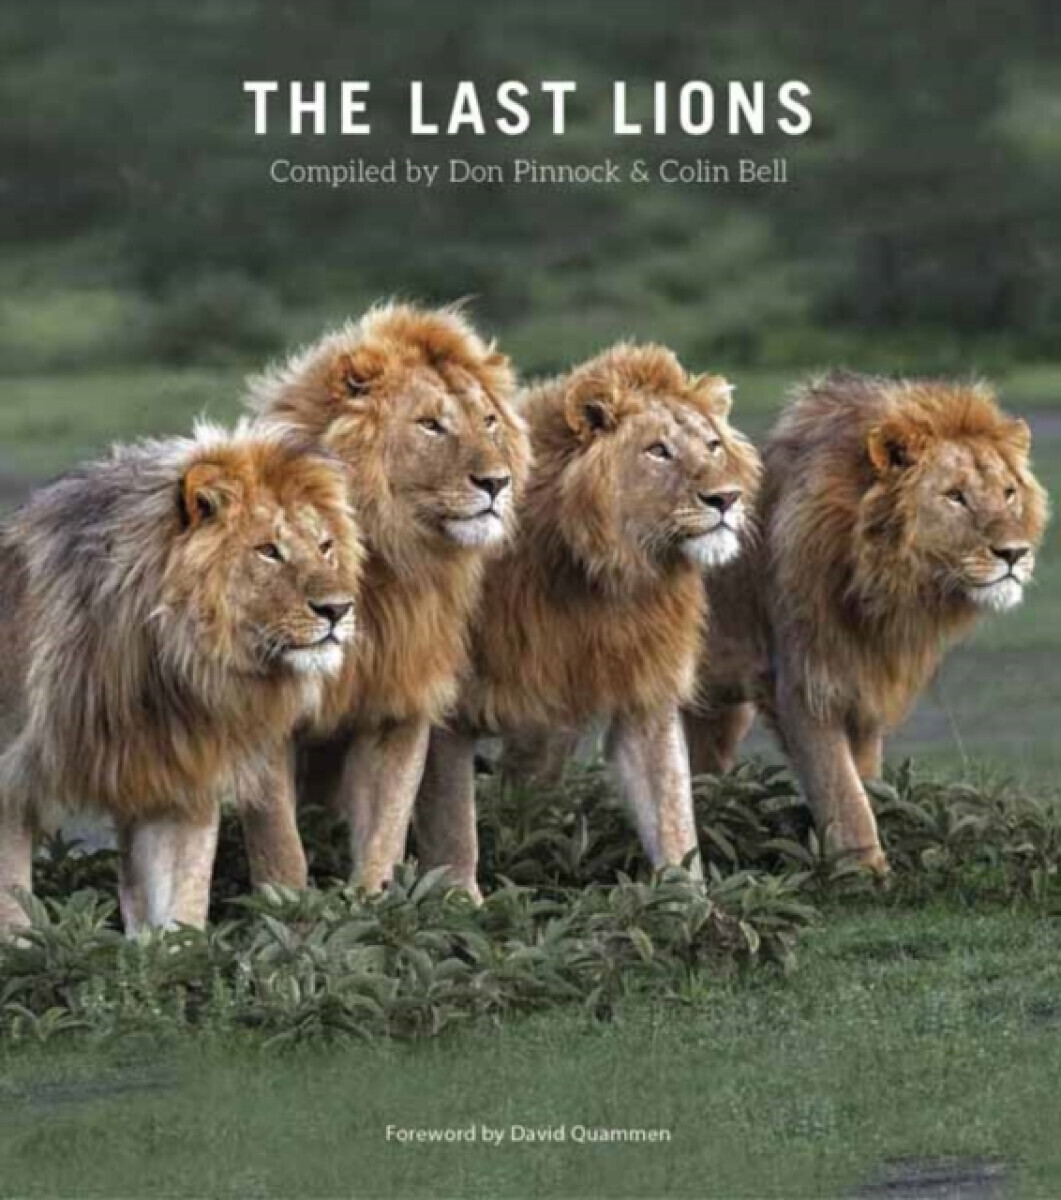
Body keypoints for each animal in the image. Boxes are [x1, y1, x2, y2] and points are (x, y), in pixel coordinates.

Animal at [0, 423, 363, 935]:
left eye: (325, 546)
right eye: (268, 551)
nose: (338, 610)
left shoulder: (176, 781)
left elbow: (179, 912)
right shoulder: (9, 785)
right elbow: (13, 915)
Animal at [237, 302, 531, 893]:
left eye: (489, 421)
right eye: (431, 424)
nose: (497, 483)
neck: (384, 562)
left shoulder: (397, 702)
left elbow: (385, 829)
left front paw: (370, 904)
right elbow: (279, 841)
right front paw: (288, 909)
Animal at [414, 343, 762, 897]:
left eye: (712, 445)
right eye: (657, 451)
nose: (727, 499)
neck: (599, 576)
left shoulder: (643, 688)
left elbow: (672, 811)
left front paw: (689, 903)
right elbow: (451, 821)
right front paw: (457, 900)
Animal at [685, 372, 1049, 872]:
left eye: (1009, 493)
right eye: (955, 496)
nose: (1014, 553)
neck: (884, 585)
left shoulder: (867, 683)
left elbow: (867, 780)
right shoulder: (804, 684)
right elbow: (843, 793)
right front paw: (866, 873)